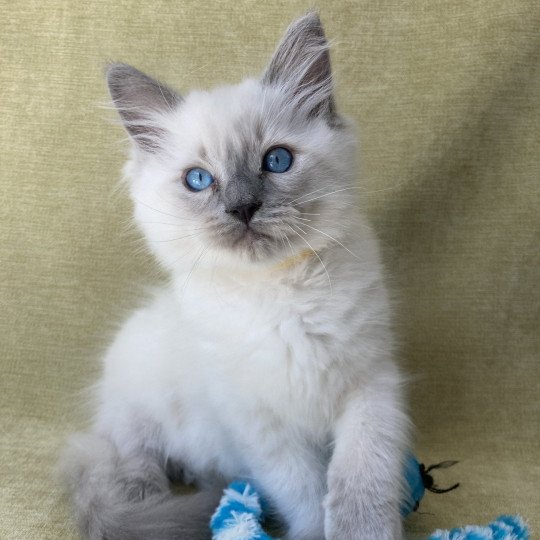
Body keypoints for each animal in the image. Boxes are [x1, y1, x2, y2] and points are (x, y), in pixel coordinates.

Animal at [61, 12, 410, 540]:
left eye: (277, 160)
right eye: (199, 180)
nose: (243, 208)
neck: (281, 294)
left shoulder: (370, 384)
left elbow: (362, 471)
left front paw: (363, 529)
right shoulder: (257, 424)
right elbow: (303, 491)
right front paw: (313, 532)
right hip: (134, 409)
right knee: (127, 465)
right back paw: (157, 496)